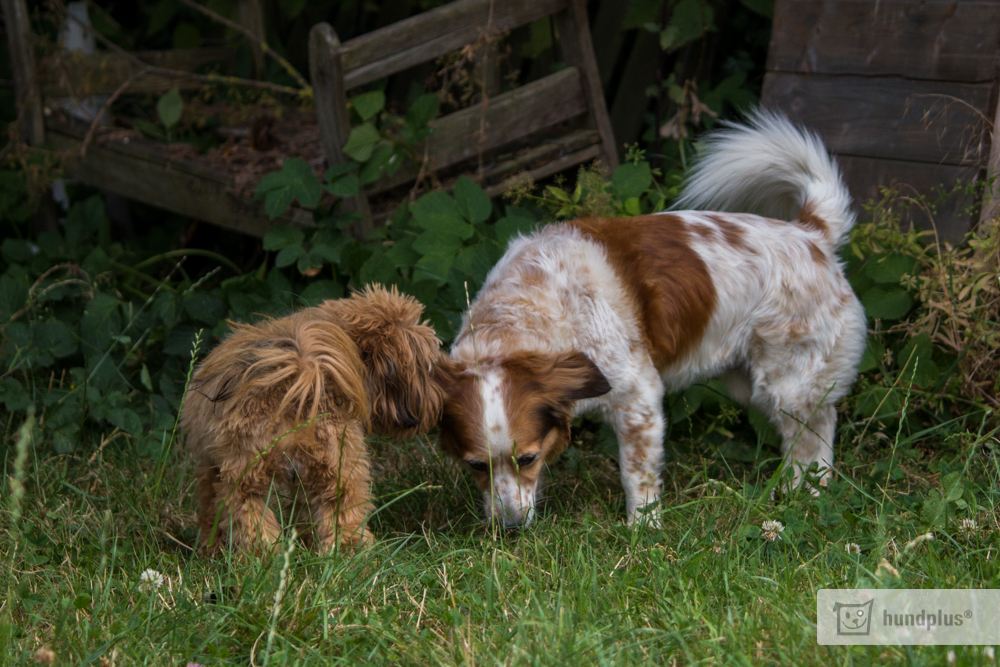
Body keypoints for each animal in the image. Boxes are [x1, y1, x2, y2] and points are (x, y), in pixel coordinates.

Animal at [181, 285, 445, 553]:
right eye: (426, 368)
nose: (438, 401)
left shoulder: (211, 466)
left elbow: (211, 509)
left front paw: (210, 547)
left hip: (248, 472)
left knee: (248, 512)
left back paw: (265, 557)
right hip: (337, 465)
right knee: (340, 510)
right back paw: (345, 554)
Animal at [437, 111, 867, 527]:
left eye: (526, 458)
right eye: (475, 466)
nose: (509, 527)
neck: (533, 307)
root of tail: (811, 233)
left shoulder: (639, 398)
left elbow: (636, 475)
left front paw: (642, 528)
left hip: (789, 384)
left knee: (815, 436)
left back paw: (805, 496)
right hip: (745, 382)